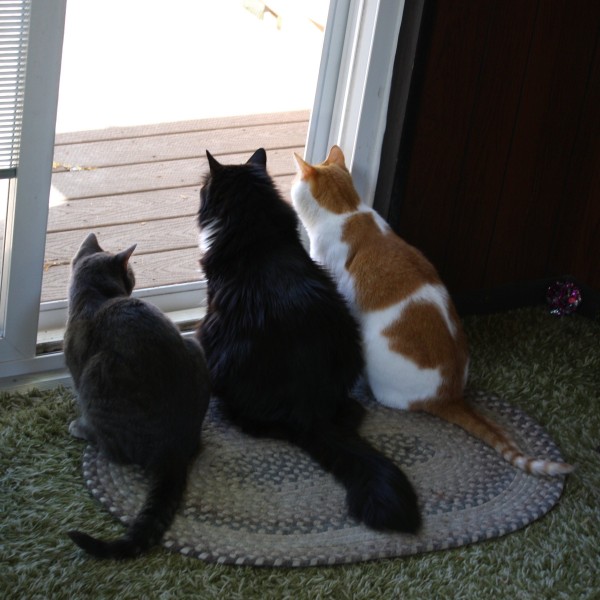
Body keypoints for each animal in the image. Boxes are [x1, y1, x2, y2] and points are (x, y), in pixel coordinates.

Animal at [65, 233, 211, 556]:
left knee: (110, 447)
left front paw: (77, 425)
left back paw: (84, 432)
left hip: (96, 374)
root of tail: (173, 451)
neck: (93, 296)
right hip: (194, 347)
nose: (134, 280)